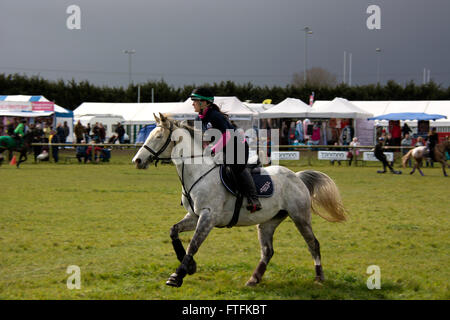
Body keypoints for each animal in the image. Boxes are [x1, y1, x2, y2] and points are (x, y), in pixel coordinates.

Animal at [132, 114, 346, 288]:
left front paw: (178, 276)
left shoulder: (208, 217)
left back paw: (319, 278)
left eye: (158, 137)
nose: (137, 161)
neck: (197, 172)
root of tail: (297, 176)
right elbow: (174, 231)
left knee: (313, 244)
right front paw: (190, 266)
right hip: (268, 222)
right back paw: (254, 279)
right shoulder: (194, 216)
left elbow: (193, 244)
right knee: (267, 251)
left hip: (300, 216)